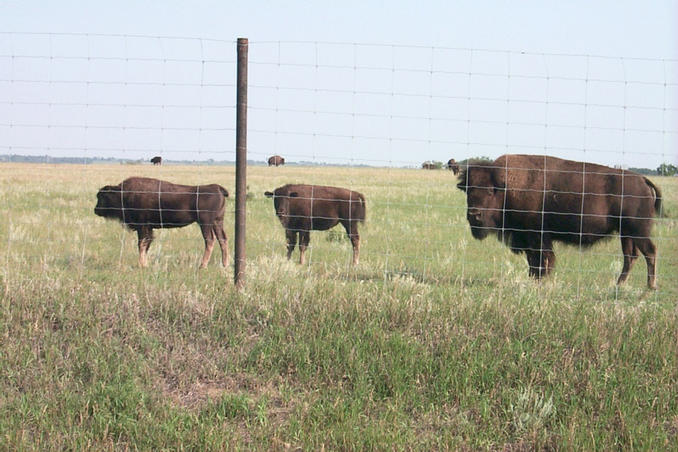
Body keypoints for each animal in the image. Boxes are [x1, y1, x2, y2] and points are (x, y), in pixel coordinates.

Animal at [95, 177, 231, 268]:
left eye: (103, 197)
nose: (96, 210)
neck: (123, 194)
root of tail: (217, 188)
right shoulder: (148, 228)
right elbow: (146, 244)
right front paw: (144, 263)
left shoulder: (142, 226)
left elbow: (142, 244)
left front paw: (142, 265)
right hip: (217, 222)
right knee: (222, 239)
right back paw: (224, 264)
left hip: (205, 223)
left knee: (210, 240)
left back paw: (202, 265)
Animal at [456, 155, 664, 288]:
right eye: (468, 190)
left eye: (490, 191)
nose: (474, 214)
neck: (507, 188)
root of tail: (642, 180)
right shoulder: (529, 238)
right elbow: (533, 260)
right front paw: (534, 279)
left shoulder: (536, 236)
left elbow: (542, 259)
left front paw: (539, 280)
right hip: (626, 233)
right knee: (631, 257)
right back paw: (619, 284)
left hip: (637, 231)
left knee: (650, 252)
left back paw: (650, 286)